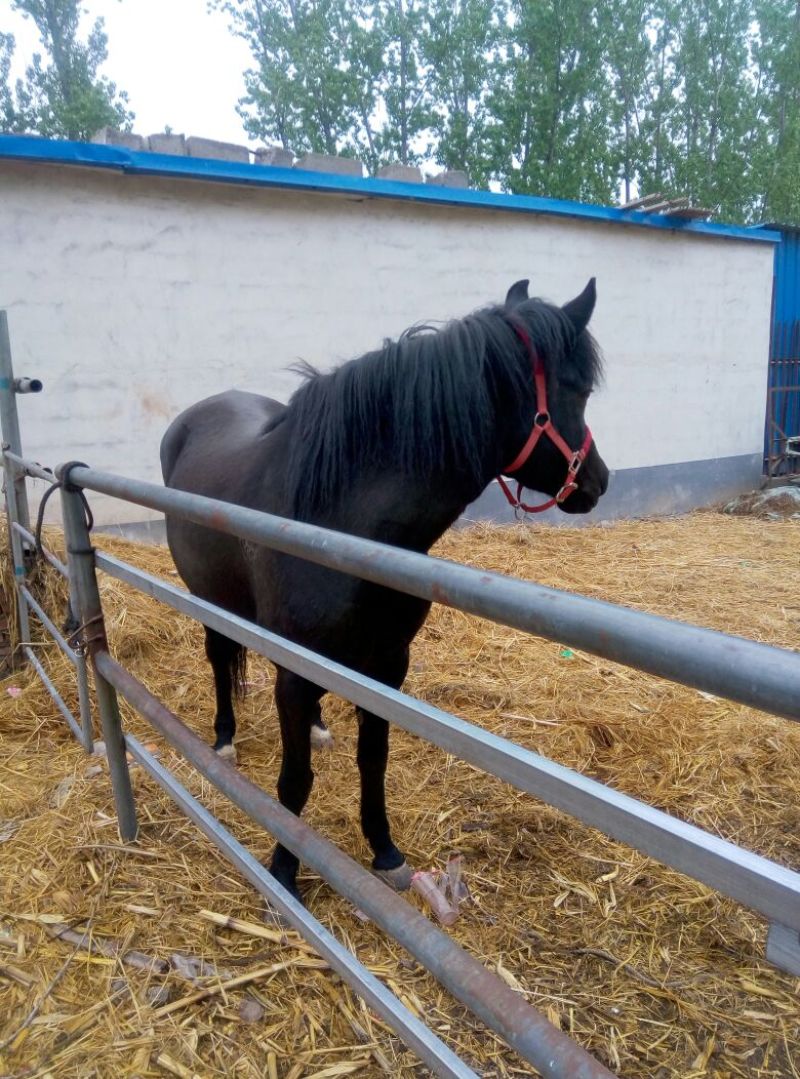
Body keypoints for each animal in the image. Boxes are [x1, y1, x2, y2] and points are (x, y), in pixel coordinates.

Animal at [160, 278, 609, 900]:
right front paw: (285, 869)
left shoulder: (388, 665)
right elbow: (294, 780)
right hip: (210, 602)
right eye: (580, 390)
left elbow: (373, 758)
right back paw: (224, 738)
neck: (340, 525)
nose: (598, 482)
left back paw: (318, 727)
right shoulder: (294, 669)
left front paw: (385, 852)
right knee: (219, 658)